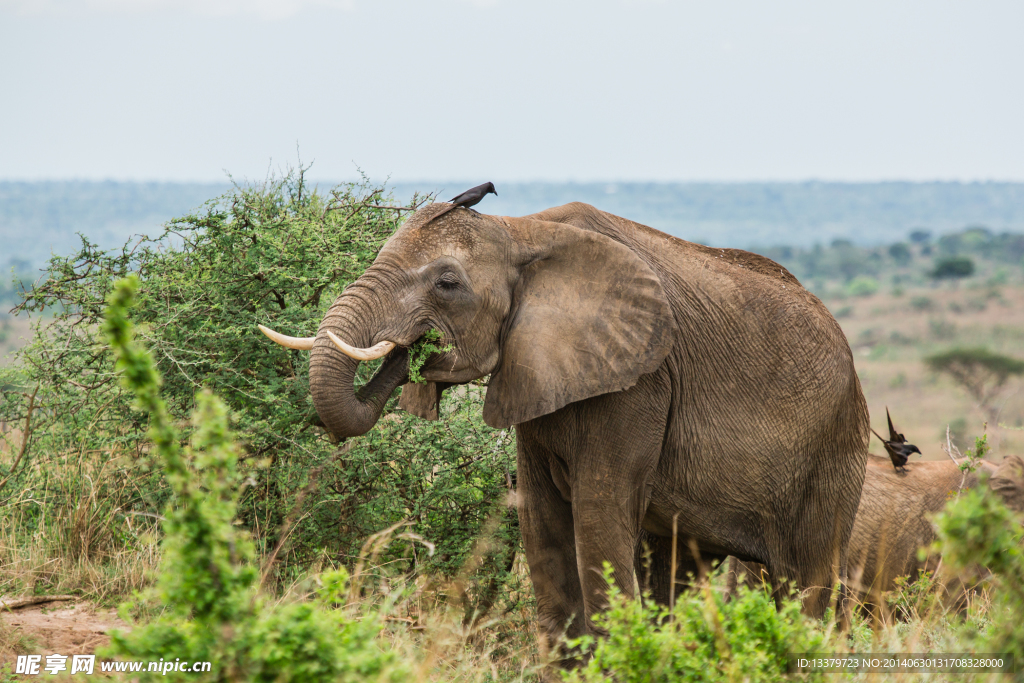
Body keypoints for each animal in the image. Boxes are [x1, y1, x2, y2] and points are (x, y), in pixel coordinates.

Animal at [258, 201, 872, 655]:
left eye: (448, 283)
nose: (413, 351)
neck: (521, 230)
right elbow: (544, 525)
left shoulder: (639, 383)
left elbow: (596, 520)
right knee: (672, 569)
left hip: (837, 446)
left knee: (806, 581)